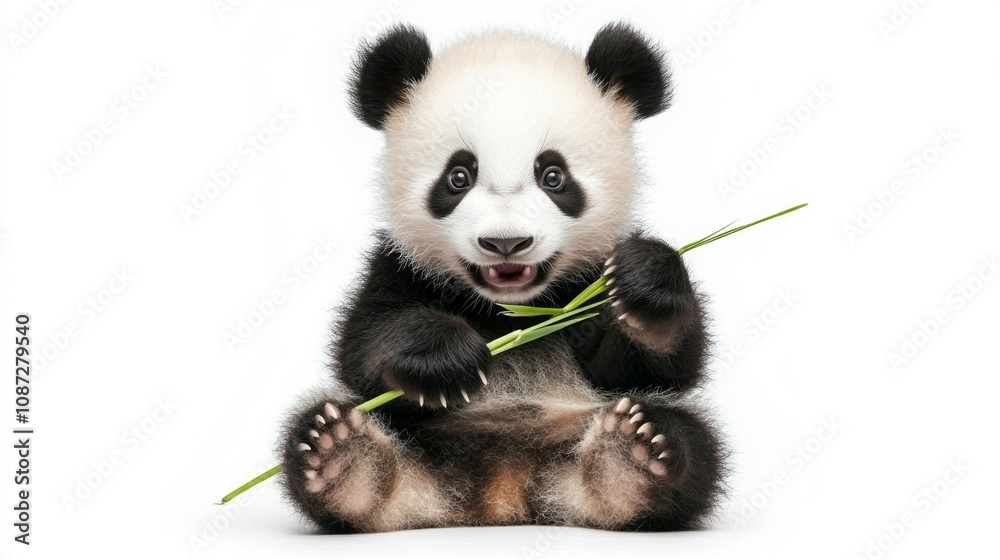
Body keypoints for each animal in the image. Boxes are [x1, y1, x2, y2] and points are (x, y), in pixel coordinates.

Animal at [281, 22, 725, 533]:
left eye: (553, 175)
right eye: (458, 176)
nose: (506, 243)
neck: (509, 307)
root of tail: (501, 493)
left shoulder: (588, 285)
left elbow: (653, 368)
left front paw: (643, 279)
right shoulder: (397, 266)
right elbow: (364, 344)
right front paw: (447, 356)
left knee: (689, 440)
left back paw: (630, 459)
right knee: (323, 428)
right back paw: (342, 458)